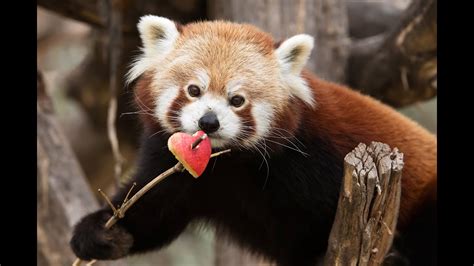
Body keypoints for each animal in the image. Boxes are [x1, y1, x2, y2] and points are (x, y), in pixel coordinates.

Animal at [70, 15, 436, 264]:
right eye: (194, 90)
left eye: (237, 100)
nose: (208, 122)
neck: (230, 162)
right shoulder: (175, 167)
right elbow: (155, 212)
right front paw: (99, 231)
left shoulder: (316, 162)